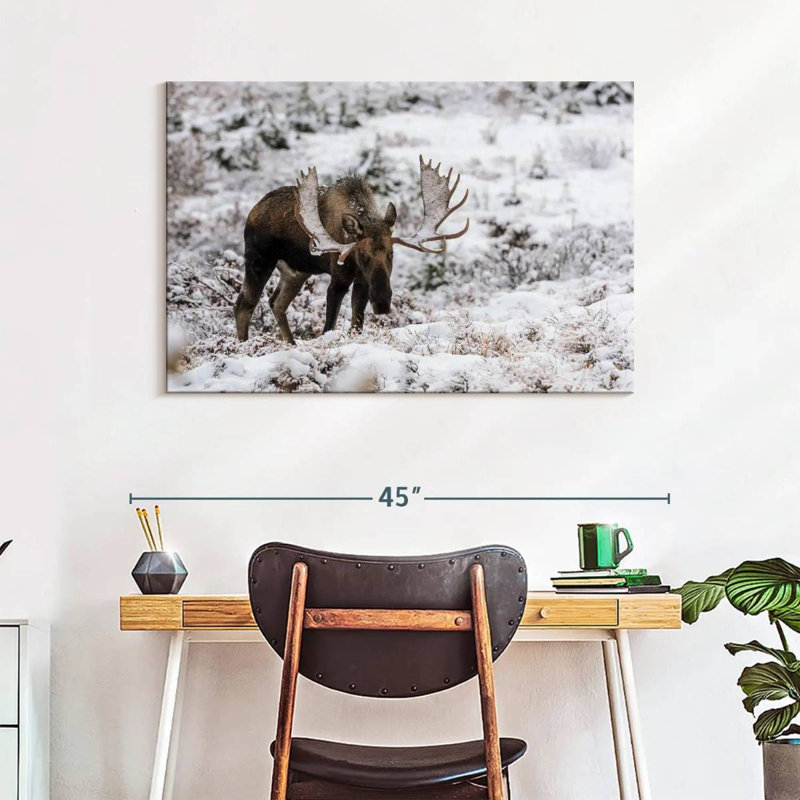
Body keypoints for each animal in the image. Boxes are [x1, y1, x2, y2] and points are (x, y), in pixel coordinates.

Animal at [234, 156, 469, 344]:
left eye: (391, 253)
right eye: (362, 255)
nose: (382, 302)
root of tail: (253, 211)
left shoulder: (362, 281)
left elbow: (356, 325)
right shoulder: (338, 277)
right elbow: (328, 327)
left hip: (296, 271)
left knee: (276, 303)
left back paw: (290, 343)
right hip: (260, 259)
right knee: (244, 304)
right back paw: (243, 346)